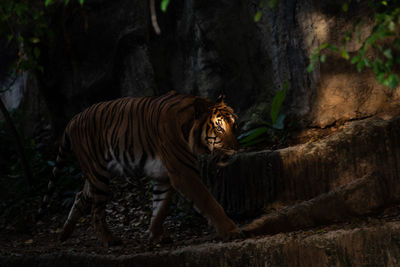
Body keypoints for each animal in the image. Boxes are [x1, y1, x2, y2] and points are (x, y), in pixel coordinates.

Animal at [38, 90, 241, 247]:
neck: (188, 130)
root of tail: (73, 119)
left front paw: (156, 235)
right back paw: (109, 240)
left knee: (80, 195)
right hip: (98, 174)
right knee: (96, 211)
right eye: (219, 128)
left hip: (95, 176)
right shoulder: (183, 172)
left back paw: (63, 234)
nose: (236, 149)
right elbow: (209, 202)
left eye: (235, 125)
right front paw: (230, 230)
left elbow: (160, 207)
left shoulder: (163, 176)